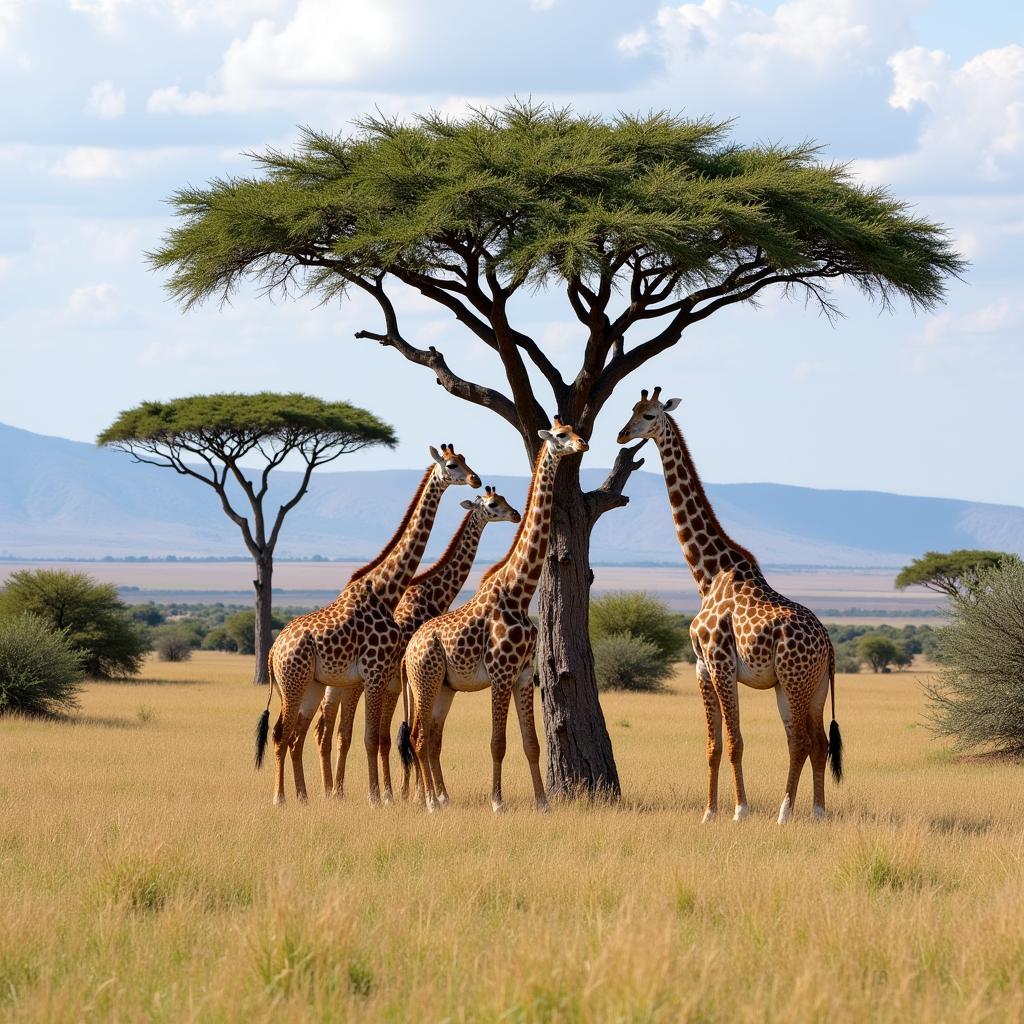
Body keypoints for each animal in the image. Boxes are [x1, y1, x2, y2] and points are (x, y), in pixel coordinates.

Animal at [253, 444, 481, 802]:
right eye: (452, 464)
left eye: (467, 461)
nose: (476, 479)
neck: (386, 589)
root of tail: (273, 651)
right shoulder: (378, 675)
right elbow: (376, 737)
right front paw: (384, 796)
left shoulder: (379, 678)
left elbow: (380, 736)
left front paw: (395, 793)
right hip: (297, 682)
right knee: (284, 733)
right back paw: (284, 798)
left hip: (316, 683)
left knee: (302, 734)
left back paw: (308, 794)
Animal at [309, 483, 520, 802]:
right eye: (494, 504)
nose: (516, 514)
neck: (432, 594)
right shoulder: (404, 682)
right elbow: (403, 734)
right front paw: (415, 794)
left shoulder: (405, 683)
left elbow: (404, 733)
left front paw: (409, 792)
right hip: (358, 682)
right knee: (343, 731)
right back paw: (340, 790)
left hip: (336, 682)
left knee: (326, 727)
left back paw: (331, 790)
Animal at [401, 413, 593, 806]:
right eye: (560, 435)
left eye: (573, 430)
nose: (583, 443)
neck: (521, 591)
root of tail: (409, 650)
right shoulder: (501, 674)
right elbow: (497, 742)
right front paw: (497, 802)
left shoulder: (523, 674)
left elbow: (532, 744)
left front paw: (543, 802)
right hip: (425, 680)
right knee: (418, 736)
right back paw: (430, 801)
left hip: (444, 686)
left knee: (429, 737)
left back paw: (439, 798)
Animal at [614, 385, 839, 823]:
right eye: (631, 409)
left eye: (649, 415)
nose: (621, 434)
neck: (708, 573)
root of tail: (828, 645)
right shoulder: (702, 666)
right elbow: (713, 745)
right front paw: (708, 812)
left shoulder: (720, 662)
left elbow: (735, 741)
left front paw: (740, 811)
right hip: (812, 684)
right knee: (817, 742)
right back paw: (818, 812)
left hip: (793, 679)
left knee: (802, 741)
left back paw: (784, 813)